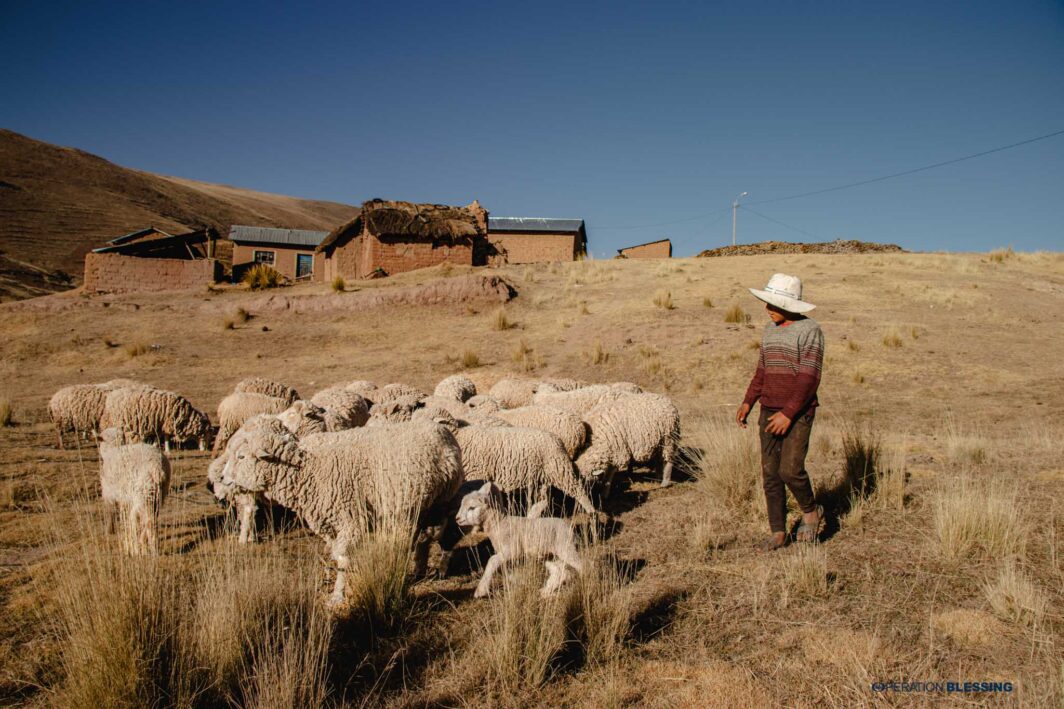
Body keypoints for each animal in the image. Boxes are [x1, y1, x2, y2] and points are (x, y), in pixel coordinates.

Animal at [214, 417, 461, 604]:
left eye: (241, 456)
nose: (223, 478)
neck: (307, 468)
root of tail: (442, 431)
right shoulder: (328, 521)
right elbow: (336, 554)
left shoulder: (349, 519)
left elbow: (343, 558)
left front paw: (337, 595)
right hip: (423, 506)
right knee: (425, 537)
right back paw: (418, 570)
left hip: (439, 501)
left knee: (435, 535)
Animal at [451, 419, 600, 513]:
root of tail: (558, 441)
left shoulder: (476, 473)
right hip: (542, 477)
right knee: (543, 498)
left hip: (559, 469)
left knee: (577, 488)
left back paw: (591, 511)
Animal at [457, 481, 587, 596]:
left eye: (472, 507)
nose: (457, 518)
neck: (500, 524)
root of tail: (568, 525)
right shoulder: (505, 554)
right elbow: (504, 570)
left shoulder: (512, 549)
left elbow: (492, 561)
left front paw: (481, 590)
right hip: (551, 555)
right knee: (560, 572)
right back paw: (545, 592)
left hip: (566, 548)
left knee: (582, 566)